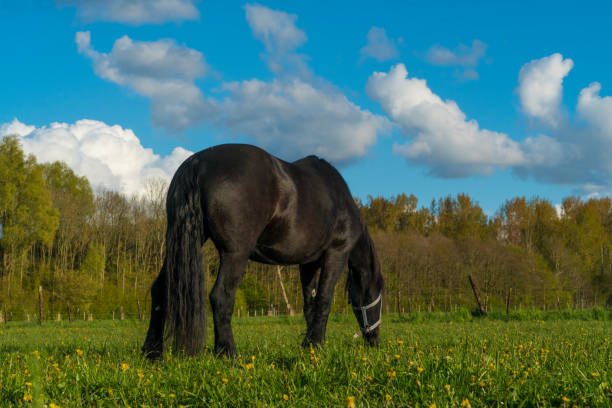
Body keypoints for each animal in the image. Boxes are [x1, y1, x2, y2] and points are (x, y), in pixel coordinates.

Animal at [142, 143, 384, 356]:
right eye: (378, 293)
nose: (375, 340)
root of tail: (198, 162)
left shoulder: (307, 264)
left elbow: (310, 303)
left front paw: (309, 344)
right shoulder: (337, 254)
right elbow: (324, 299)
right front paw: (316, 344)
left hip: (177, 246)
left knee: (160, 290)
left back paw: (152, 352)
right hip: (235, 255)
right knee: (221, 297)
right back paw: (228, 353)